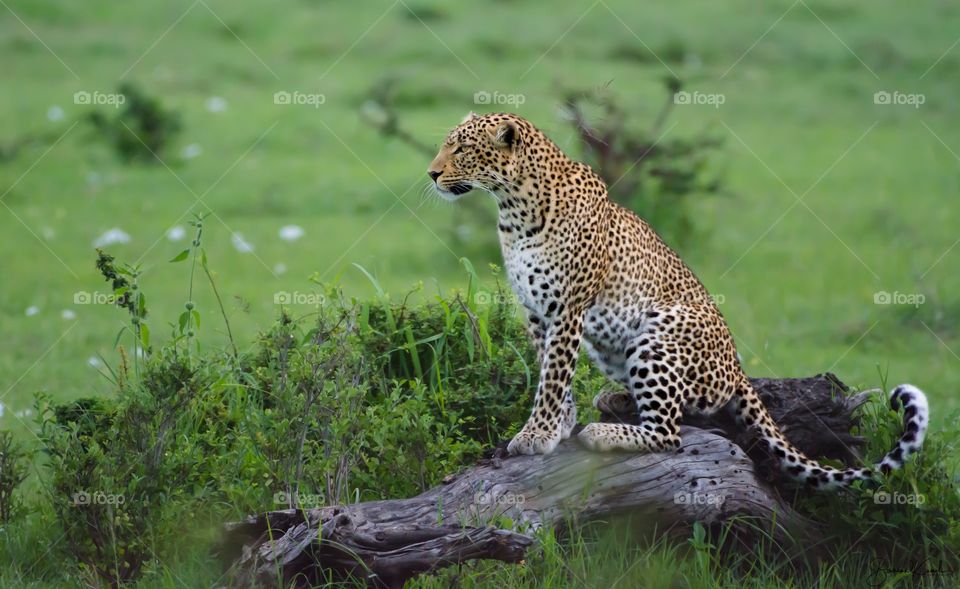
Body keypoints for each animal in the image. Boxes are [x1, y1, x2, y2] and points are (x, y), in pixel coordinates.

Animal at [427, 112, 928, 489]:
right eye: (446, 146)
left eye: (461, 149)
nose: (431, 174)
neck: (512, 209)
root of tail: (739, 367)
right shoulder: (536, 312)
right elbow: (551, 371)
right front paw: (556, 425)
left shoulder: (568, 308)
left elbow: (552, 376)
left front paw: (539, 434)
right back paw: (613, 403)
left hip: (658, 332)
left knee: (671, 432)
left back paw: (604, 430)